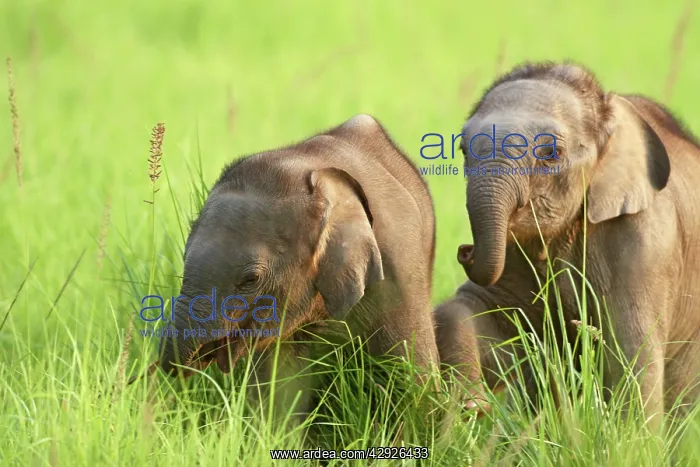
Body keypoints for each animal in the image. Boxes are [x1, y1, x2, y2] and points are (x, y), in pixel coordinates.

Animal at [434, 61, 700, 428]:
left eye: (551, 153)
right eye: (462, 148)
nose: (465, 251)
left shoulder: (646, 245)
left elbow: (634, 355)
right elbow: (482, 312)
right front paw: (470, 403)